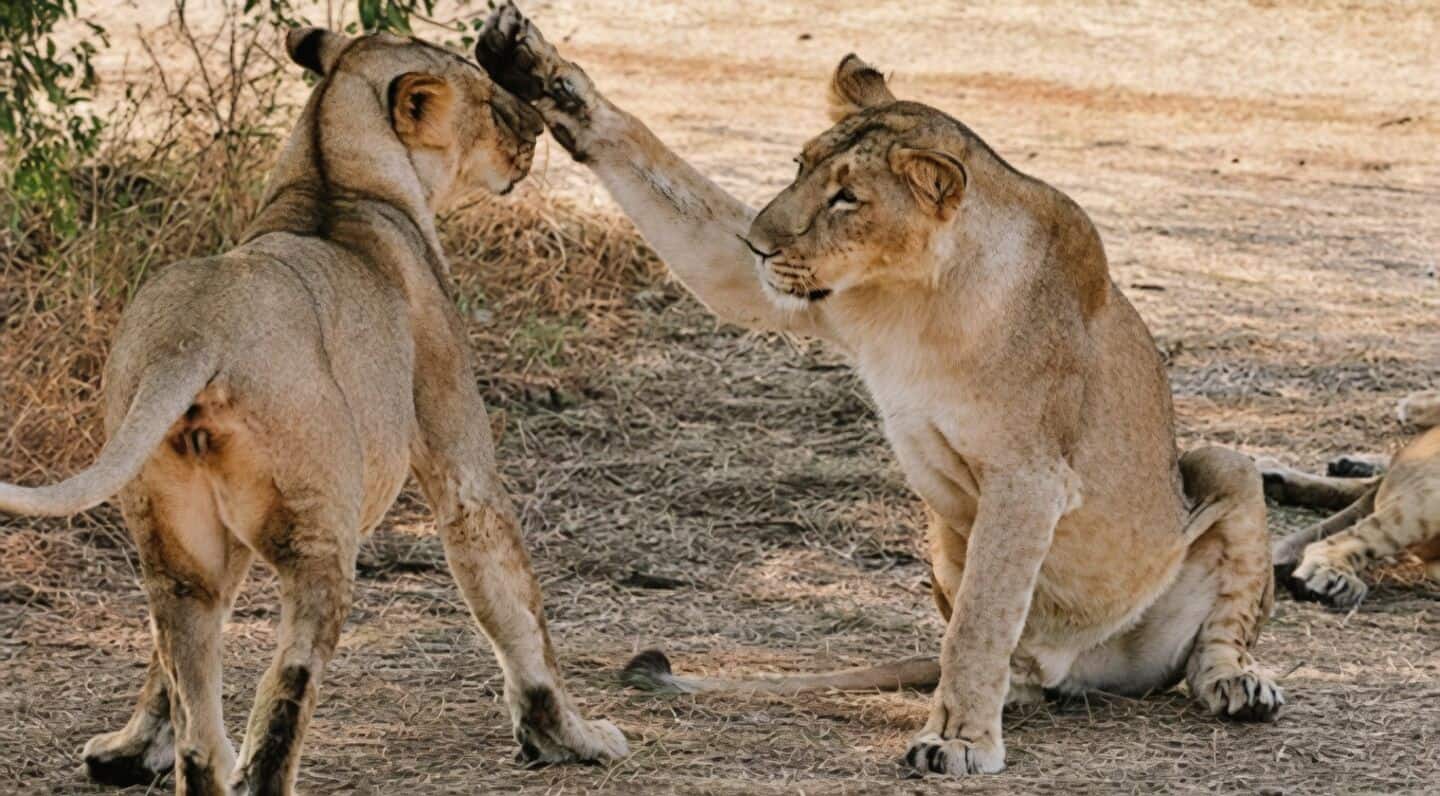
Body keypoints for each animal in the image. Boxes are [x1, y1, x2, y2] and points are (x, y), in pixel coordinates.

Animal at [0, 28, 625, 794]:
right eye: (488, 98)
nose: (534, 128)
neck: (333, 178)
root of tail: (196, 335)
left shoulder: (217, 550)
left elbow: (164, 673)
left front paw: (130, 748)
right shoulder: (461, 462)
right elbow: (515, 605)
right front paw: (571, 737)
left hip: (174, 541)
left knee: (198, 713)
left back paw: (195, 759)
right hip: (321, 533)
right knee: (288, 683)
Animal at [475, 2, 1283, 778]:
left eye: (847, 199)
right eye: (799, 165)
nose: (759, 243)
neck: (916, 296)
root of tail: (1079, 669)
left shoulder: (1030, 475)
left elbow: (982, 618)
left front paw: (956, 739)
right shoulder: (785, 293)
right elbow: (660, 175)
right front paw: (538, 70)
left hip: (1224, 467)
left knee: (1220, 626)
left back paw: (1238, 683)